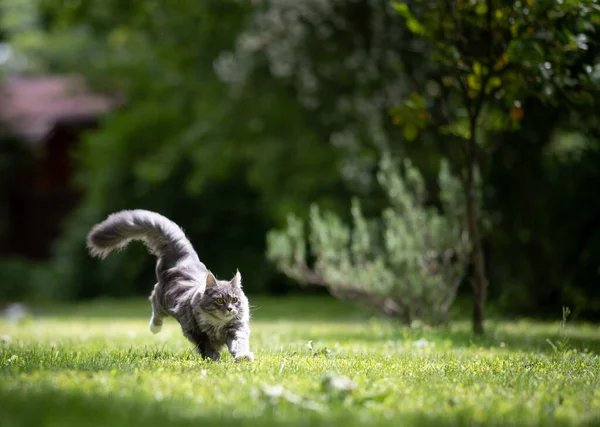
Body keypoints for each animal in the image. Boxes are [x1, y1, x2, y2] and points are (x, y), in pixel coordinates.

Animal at [85, 209, 253, 362]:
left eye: (235, 300)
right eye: (219, 300)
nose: (229, 309)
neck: (218, 324)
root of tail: (183, 259)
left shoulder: (236, 329)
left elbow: (239, 344)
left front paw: (243, 357)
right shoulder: (197, 333)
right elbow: (207, 348)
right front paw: (213, 360)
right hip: (162, 300)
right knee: (156, 308)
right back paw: (154, 328)